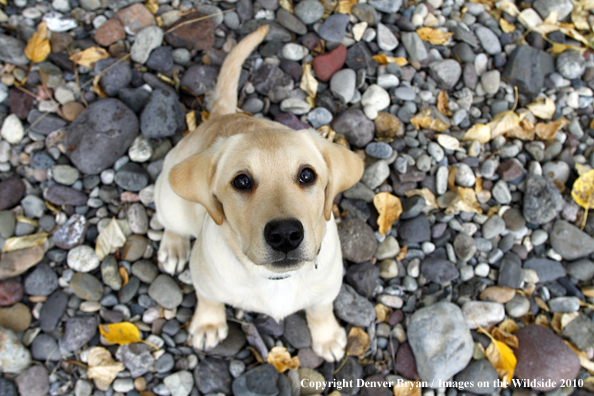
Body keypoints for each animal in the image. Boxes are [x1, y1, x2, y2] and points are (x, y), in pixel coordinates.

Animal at [154, 24, 360, 362]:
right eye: (241, 181)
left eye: (307, 175)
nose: (286, 235)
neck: (274, 280)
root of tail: (220, 116)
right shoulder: (203, 276)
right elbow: (208, 299)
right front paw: (208, 324)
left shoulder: (329, 284)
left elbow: (320, 308)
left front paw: (327, 337)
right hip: (169, 195)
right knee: (173, 224)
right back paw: (173, 247)